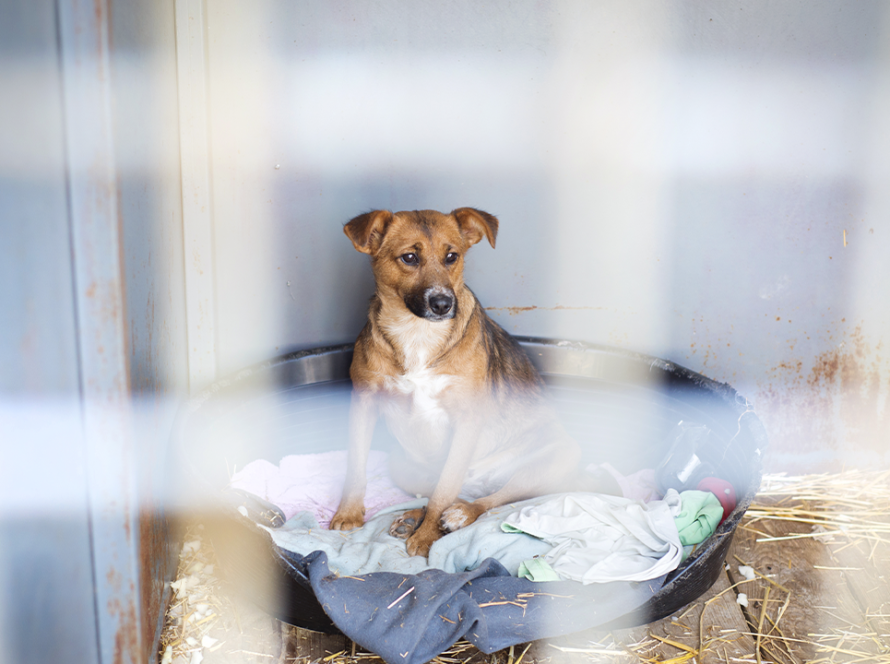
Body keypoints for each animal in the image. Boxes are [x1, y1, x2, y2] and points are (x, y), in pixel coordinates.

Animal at [330, 208, 612, 556]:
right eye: (409, 257)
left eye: (452, 256)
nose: (442, 304)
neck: (417, 333)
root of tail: (481, 480)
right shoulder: (364, 401)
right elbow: (356, 465)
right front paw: (348, 514)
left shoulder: (467, 418)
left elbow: (445, 490)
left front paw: (426, 539)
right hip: (403, 465)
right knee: (448, 491)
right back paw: (414, 517)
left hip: (558, 457)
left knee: (490, 499)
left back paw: (459, 515)